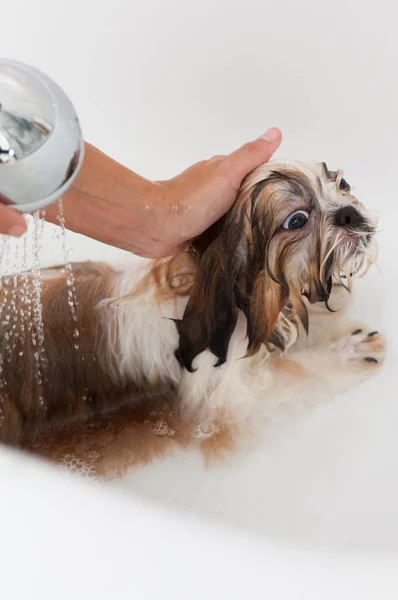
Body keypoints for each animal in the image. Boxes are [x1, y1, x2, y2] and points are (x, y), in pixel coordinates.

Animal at [0, 159, 386, 478]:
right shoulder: (228, 401)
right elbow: (296, 371)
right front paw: (348, 352)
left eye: (342, 183)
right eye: (297, 221)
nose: (349, 213)